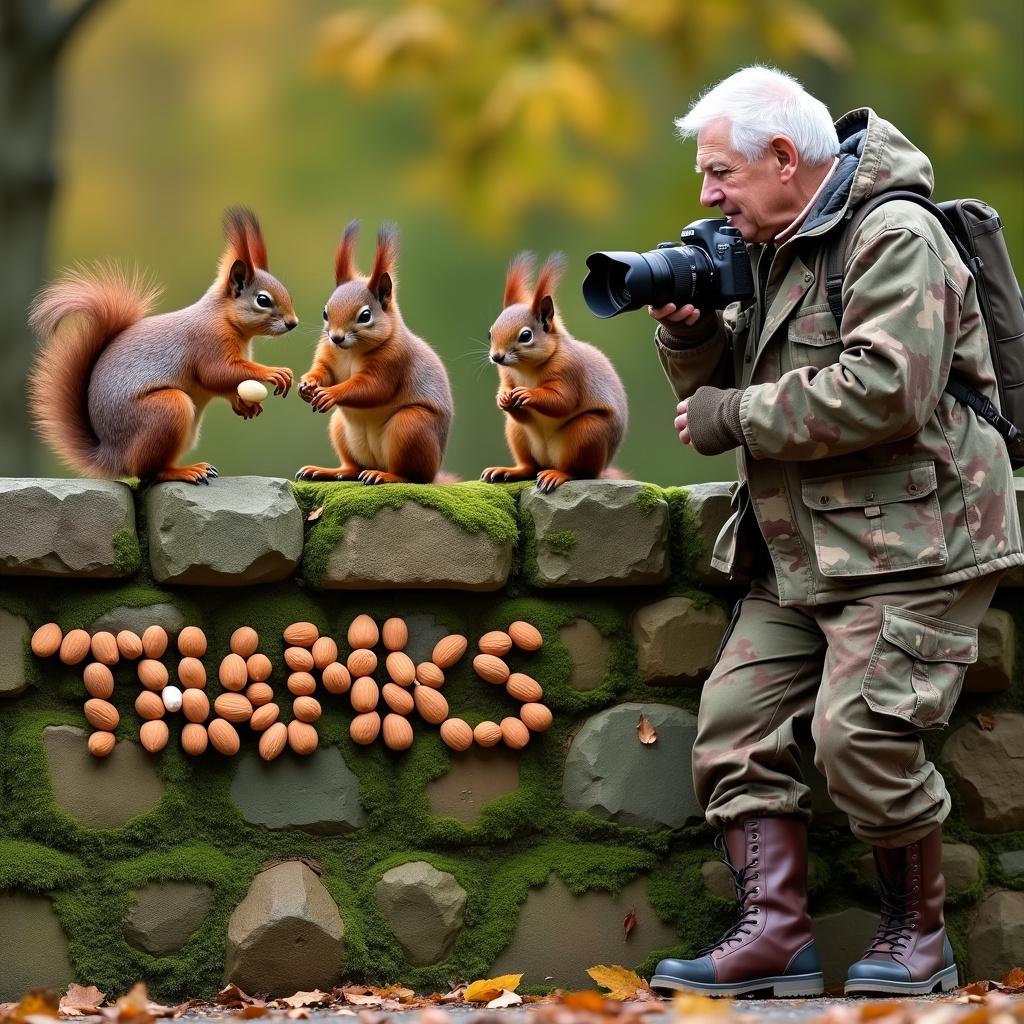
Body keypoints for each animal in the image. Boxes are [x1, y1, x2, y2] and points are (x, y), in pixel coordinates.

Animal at [27, 207, 296, 483]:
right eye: (263, 300)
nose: (293, 323)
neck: (225, 319)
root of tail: (114, 455)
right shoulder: (208, 342)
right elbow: (216, 373)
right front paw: (274, 372)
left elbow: (222, 383)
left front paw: (244, 403)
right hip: (168, 409)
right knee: (149, 472)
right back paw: (187, 471)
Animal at [299, 221, 454, 483]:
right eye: (325, 312)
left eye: (365, 316)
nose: (336, 337)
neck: (350, 351)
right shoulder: (328, 354)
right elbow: (324, 370)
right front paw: (307, 383)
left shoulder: (393, 361)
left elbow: (371, 388)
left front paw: (330, 394)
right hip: (340, 427)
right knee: (352, 468)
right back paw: (328, 471)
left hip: (411, 426)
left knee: (411, 476)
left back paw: (386, 476)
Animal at [483, 247, 626, 487]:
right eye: (490, 333)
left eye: (525, 335)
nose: (497, 357)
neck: (526, 368)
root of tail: (548, 461)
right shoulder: (507, 375)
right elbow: (508, 391)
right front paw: (503, 397)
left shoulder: (569, 370)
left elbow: (562, 401)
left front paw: (528, 394)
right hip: (518, 434)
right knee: (529, 467)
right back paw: (509, 471)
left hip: (587, 433)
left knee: (577, 471)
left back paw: (557, 475)